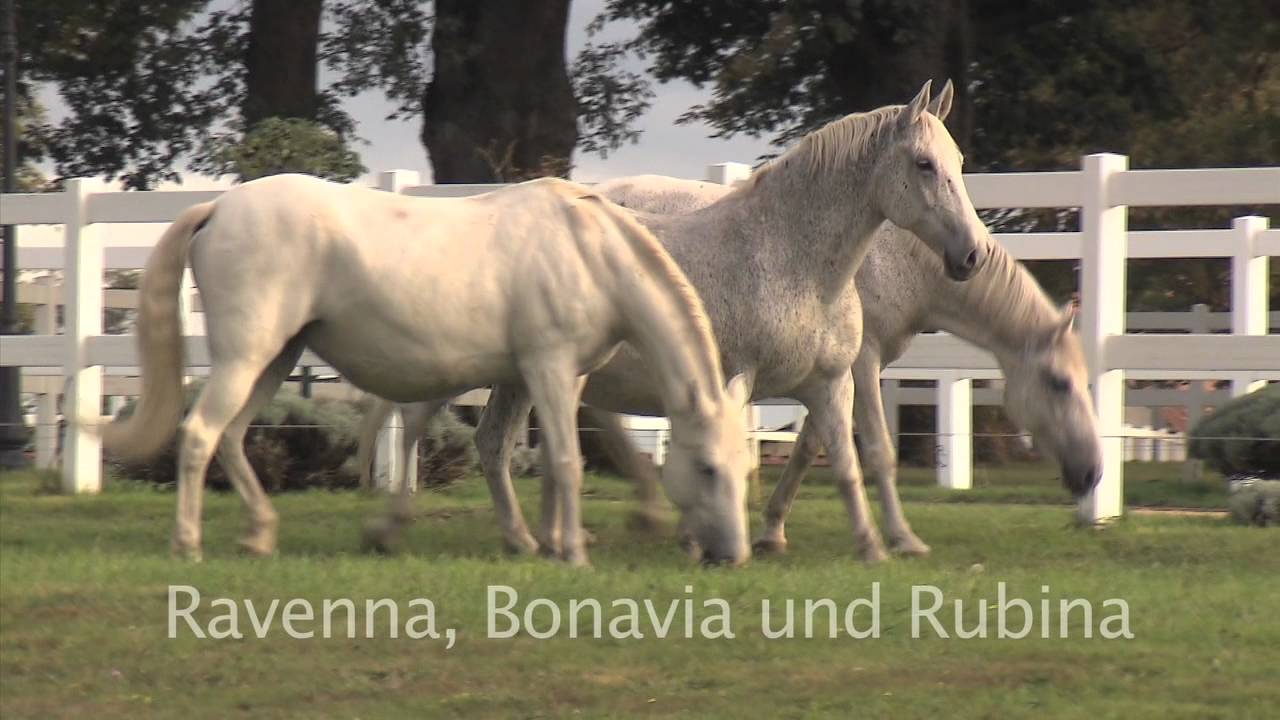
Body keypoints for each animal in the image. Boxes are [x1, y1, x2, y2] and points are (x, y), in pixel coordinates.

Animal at [98, 175, 754, 567]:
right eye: (706, 467)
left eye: (744, 472)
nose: (734, 554)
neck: (589, 250)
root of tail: (217, 206)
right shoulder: (548, 367)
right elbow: (564, 460)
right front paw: (570, 551)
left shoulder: (537, 377)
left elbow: (513, 452)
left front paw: (530, 539)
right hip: (246, 356)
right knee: (199, 435)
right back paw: (188, 543)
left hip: (275, 359)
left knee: (231, 438)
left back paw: (258, 533)